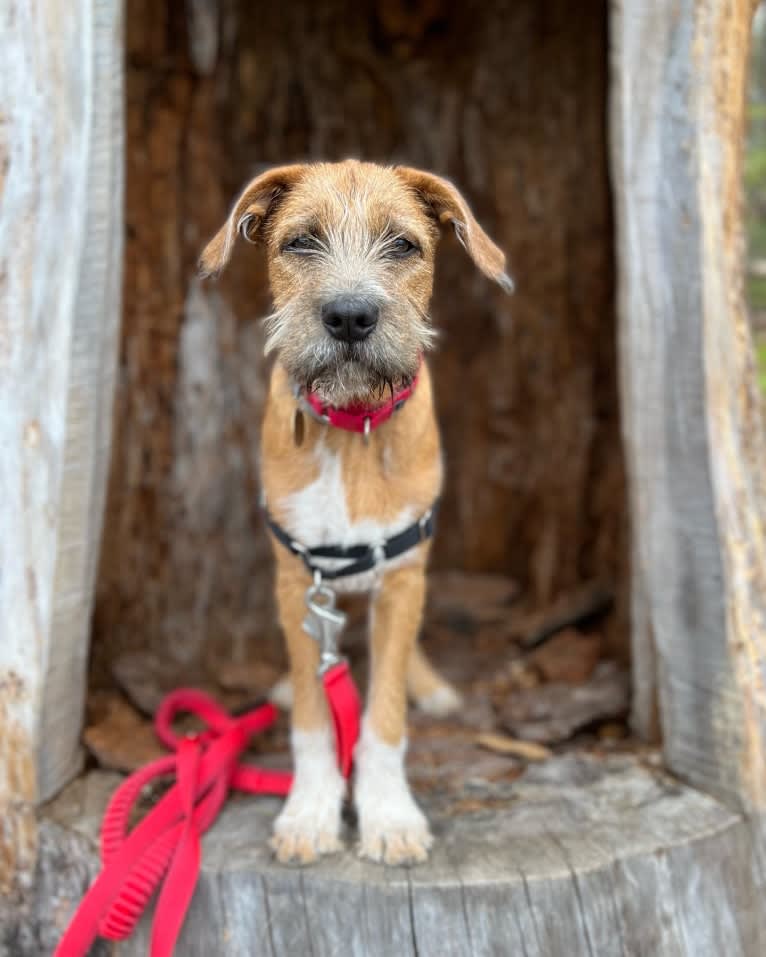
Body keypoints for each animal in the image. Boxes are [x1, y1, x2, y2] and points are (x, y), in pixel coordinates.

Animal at [200, 162, 510, 868]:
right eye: (299, 242)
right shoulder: (298, 583)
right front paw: (310, 811)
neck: (351, 429)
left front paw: (389, 816)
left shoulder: (400, 578)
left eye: (403, 246)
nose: (348, 316)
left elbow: (383, 716)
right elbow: (316, 718)